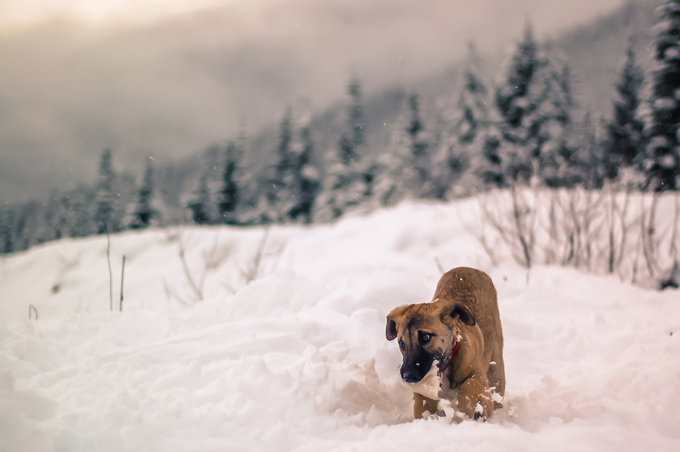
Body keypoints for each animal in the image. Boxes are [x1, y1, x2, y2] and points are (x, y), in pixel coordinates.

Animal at [386, 268, 502, 420]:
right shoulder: (424, 395)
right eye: (401, 343)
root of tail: (467, 268)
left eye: (425, 337)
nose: (408, 376)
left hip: (497, 371)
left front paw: (465, 410)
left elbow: (470, 385)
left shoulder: (482, 383)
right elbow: (423, 407)